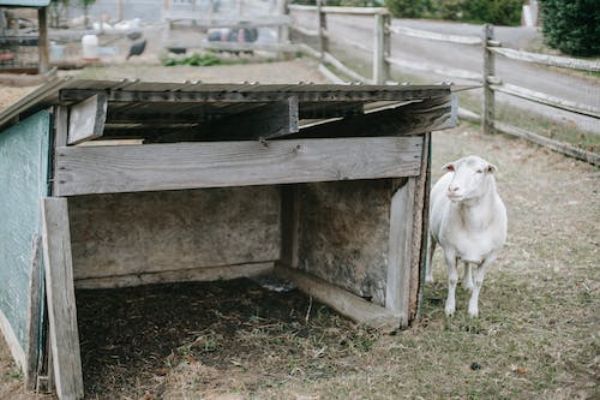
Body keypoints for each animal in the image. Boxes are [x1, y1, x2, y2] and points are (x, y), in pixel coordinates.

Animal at [426, 155, 506, 318]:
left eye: (480, 171)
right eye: (455, 169)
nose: (452, 189)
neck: (474, 226)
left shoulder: (490, 257)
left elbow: (479, 282)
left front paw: (473, 310)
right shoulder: (449, 251)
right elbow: (452, 279)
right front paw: (450, 308)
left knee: (467, 264)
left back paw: (467, 283)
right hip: (432, 231)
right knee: (430, 250)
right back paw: (429, 277)